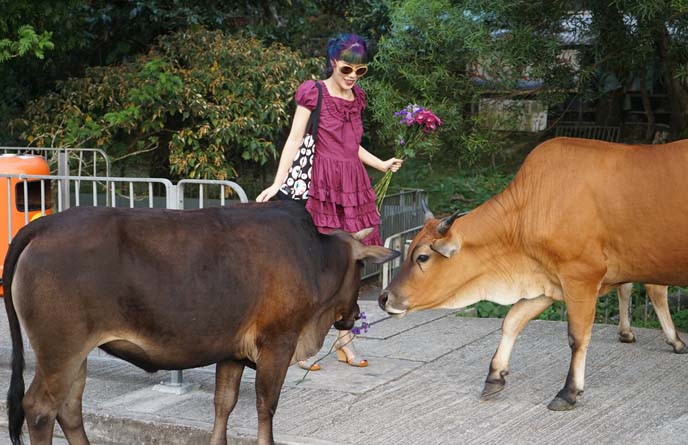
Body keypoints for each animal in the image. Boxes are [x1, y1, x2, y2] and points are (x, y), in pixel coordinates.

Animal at [5, 202, 400, 444]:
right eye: (361, 267)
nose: (354, 316)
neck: (314, 255)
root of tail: (47, 224)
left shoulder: (231, 351)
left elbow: (223, 404)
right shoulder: (279, 342)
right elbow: (265, 405)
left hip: (76, 354)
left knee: (69, 409)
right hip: (61, 351)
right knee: (40, 409)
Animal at [378, 137, 688, 412]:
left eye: (422, 257)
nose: (383, 298)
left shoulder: (581, 277)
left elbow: (577, 336)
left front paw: (569, 392)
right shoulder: (547, 282)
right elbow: (512, 321)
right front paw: (495, 376)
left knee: (655, 289)